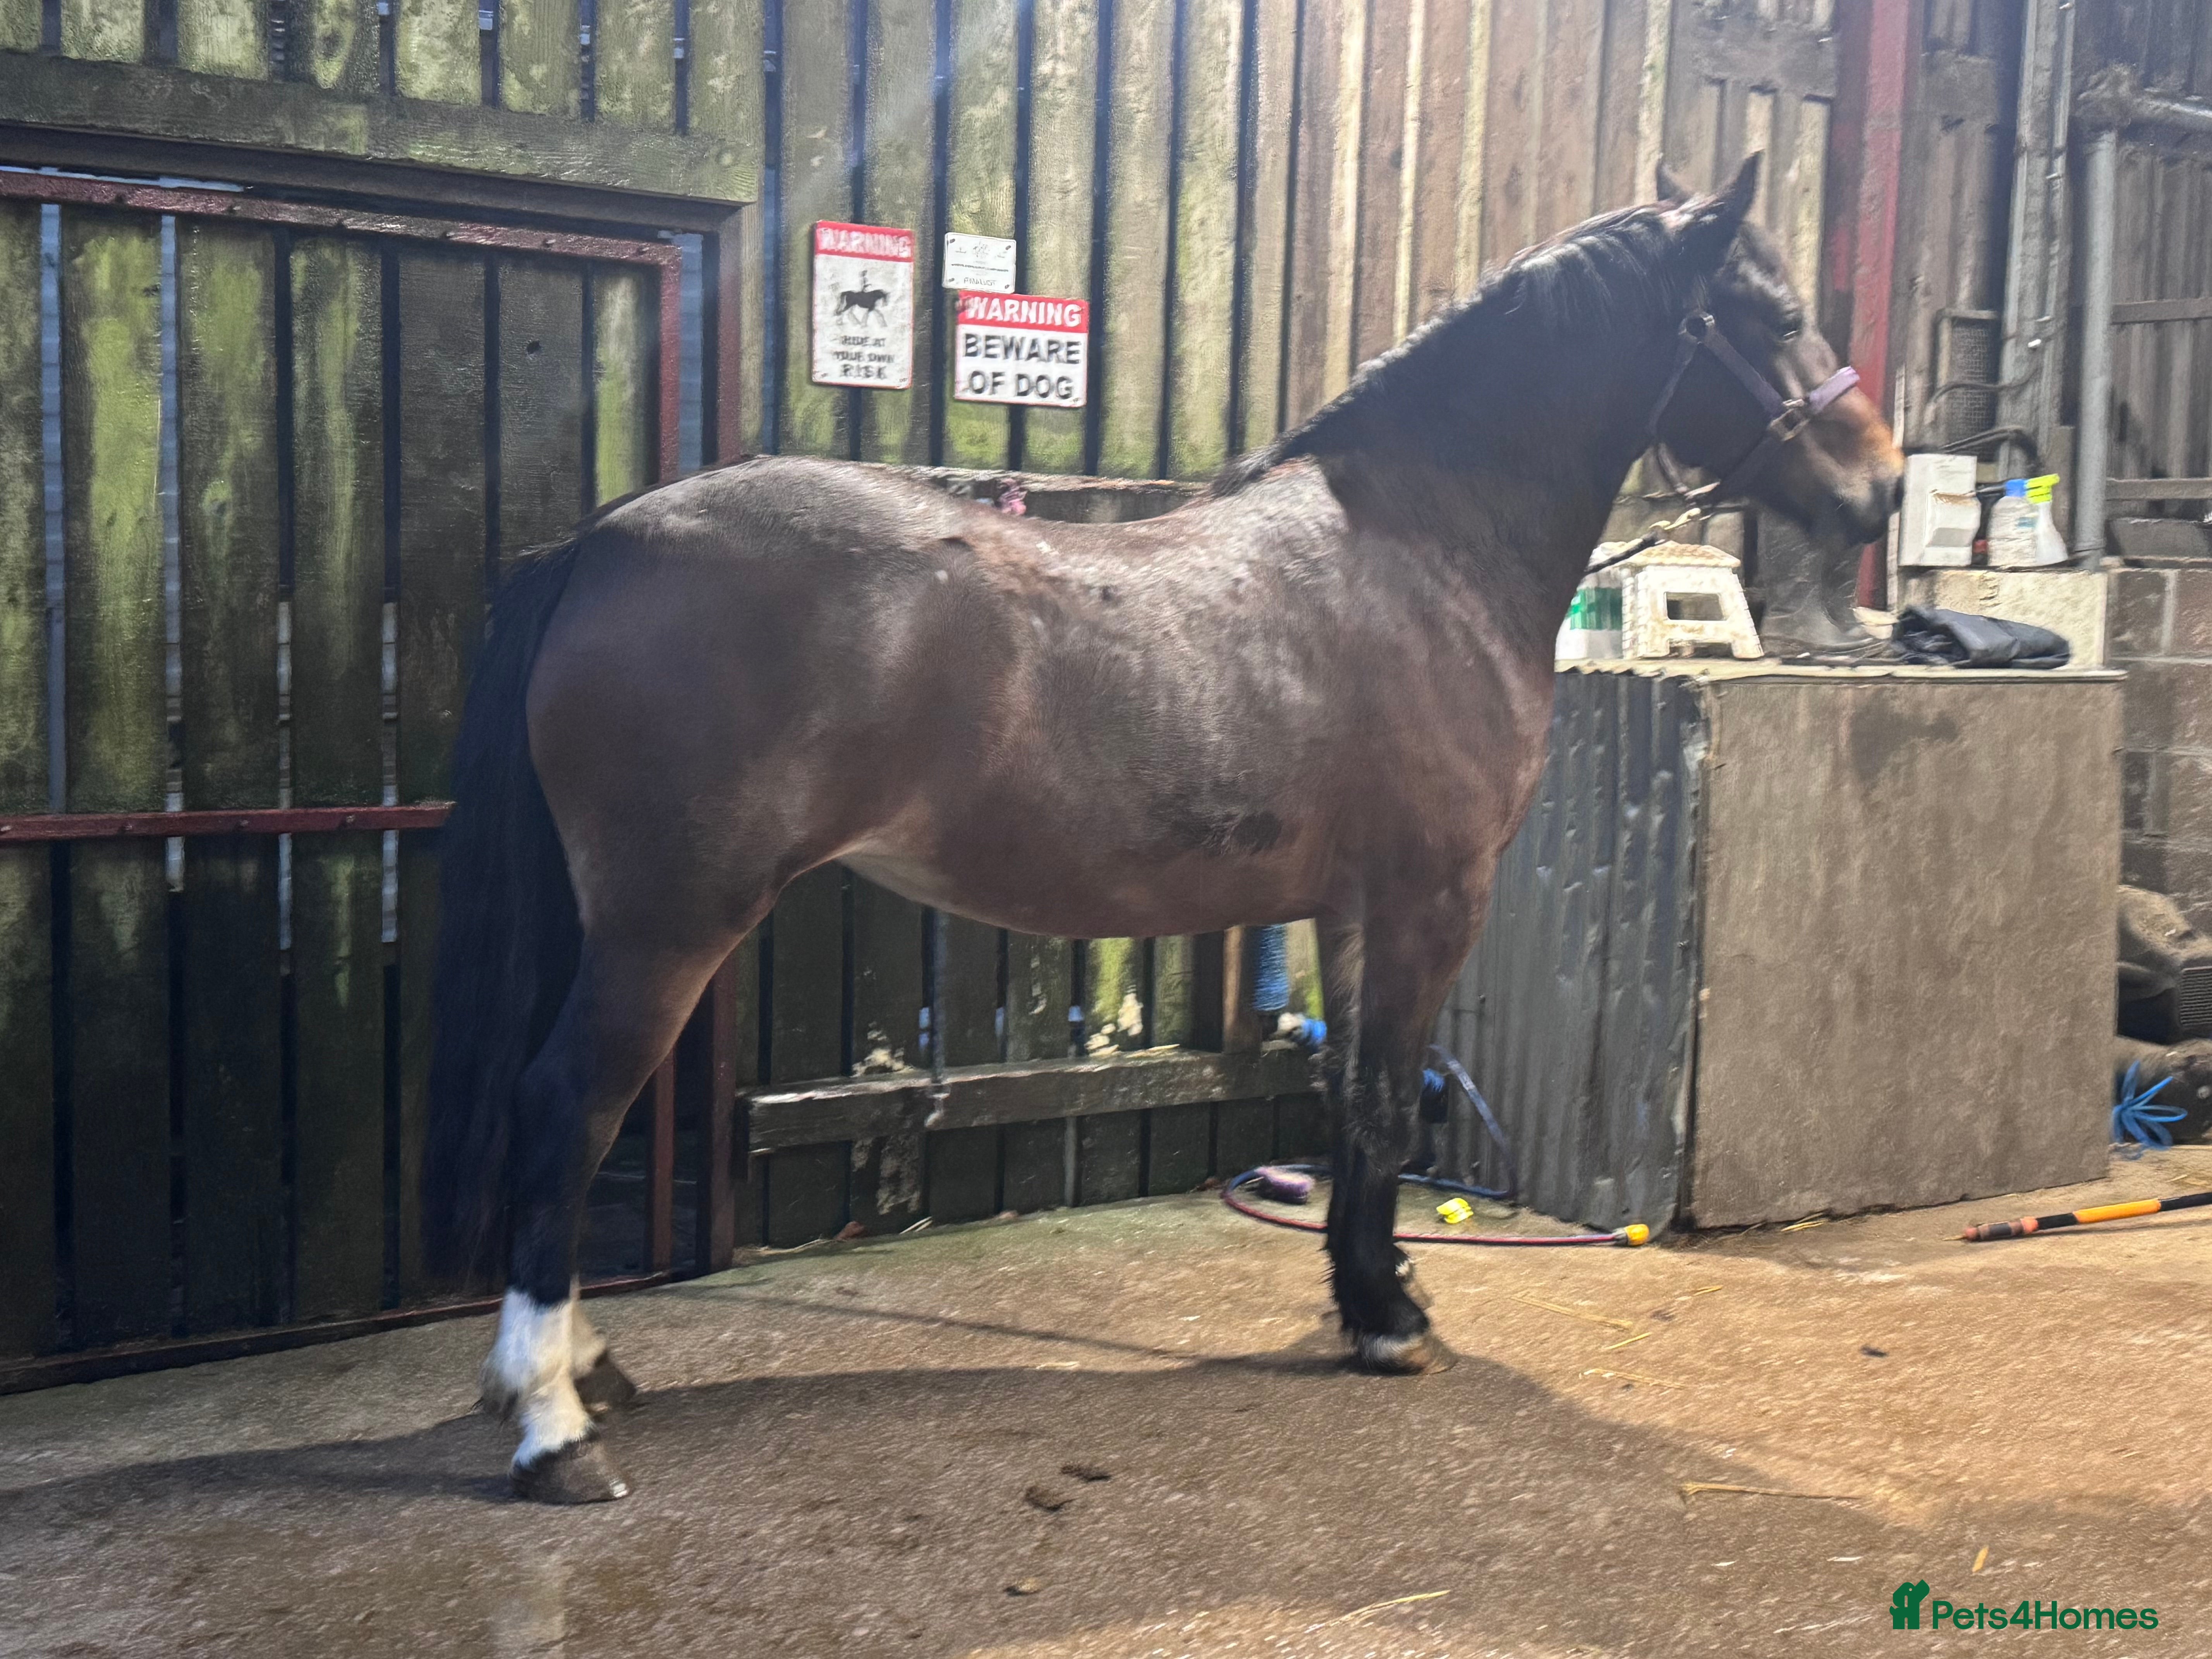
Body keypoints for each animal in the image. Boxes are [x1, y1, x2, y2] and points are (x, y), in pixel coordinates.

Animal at [425, 156, 1904, 1503]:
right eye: (1774, 313)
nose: (1882, 490)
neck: (1422, 550)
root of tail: (603, 541)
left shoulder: (1349, 906)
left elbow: (1354, 1097)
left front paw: (1374, 1292)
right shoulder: (1432, 896)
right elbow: (1385, 1098)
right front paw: (1388, 1323)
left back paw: (582, 1370)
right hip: (670, 924)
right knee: (568, 1105)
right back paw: (553, 1428)